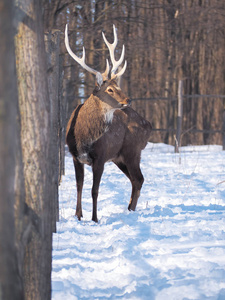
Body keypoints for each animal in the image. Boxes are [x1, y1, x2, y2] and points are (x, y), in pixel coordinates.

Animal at [65, 24, 153, 223]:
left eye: (118, 86)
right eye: (110, 89)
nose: (128, 99)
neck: (83, 136)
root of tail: (149, 125)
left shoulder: (100, 157)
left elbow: (94, 190)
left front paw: (94, 218)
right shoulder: (75, 156)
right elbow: (79, 186)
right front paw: (78, 215)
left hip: (132, 150)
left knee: (139, 178)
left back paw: (130, 210)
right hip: (119, 157)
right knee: (135, 179)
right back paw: (129, 209)